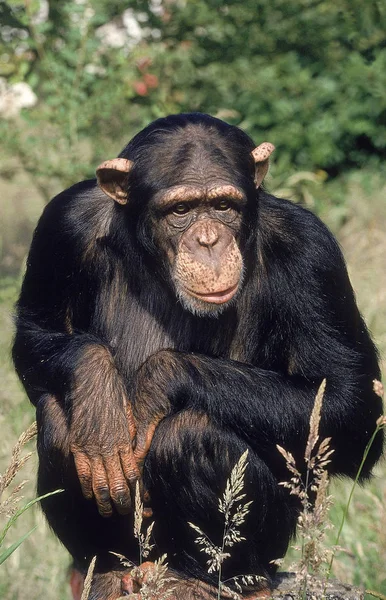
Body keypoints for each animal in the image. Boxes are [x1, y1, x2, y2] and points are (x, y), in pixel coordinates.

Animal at [12, 113, 382, 600]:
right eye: (181, 210)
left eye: (224, 206)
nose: (208, 241)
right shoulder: (63, 223)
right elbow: (36, 328)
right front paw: (99, 396)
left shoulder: (310, 250)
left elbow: (350, 401)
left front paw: (157, 381)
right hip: (138, 547)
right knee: (58, 417)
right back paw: (108, 570)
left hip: (269, 546)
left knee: (190, 435)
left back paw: (215, 581)